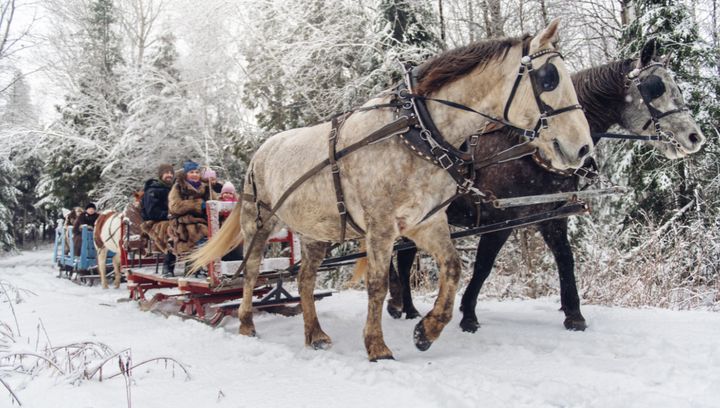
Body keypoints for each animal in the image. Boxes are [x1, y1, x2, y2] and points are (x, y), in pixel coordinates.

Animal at [386, 38, 704, 332]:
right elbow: (484, 266)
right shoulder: (501, 219)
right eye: (654, 87)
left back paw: (405, 306)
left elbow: (565, 259)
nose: (695, 137)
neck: (529, 150)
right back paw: (402, 304)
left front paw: (574, 315)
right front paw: (468, 315)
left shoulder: (552, 216)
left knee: (403, 258)